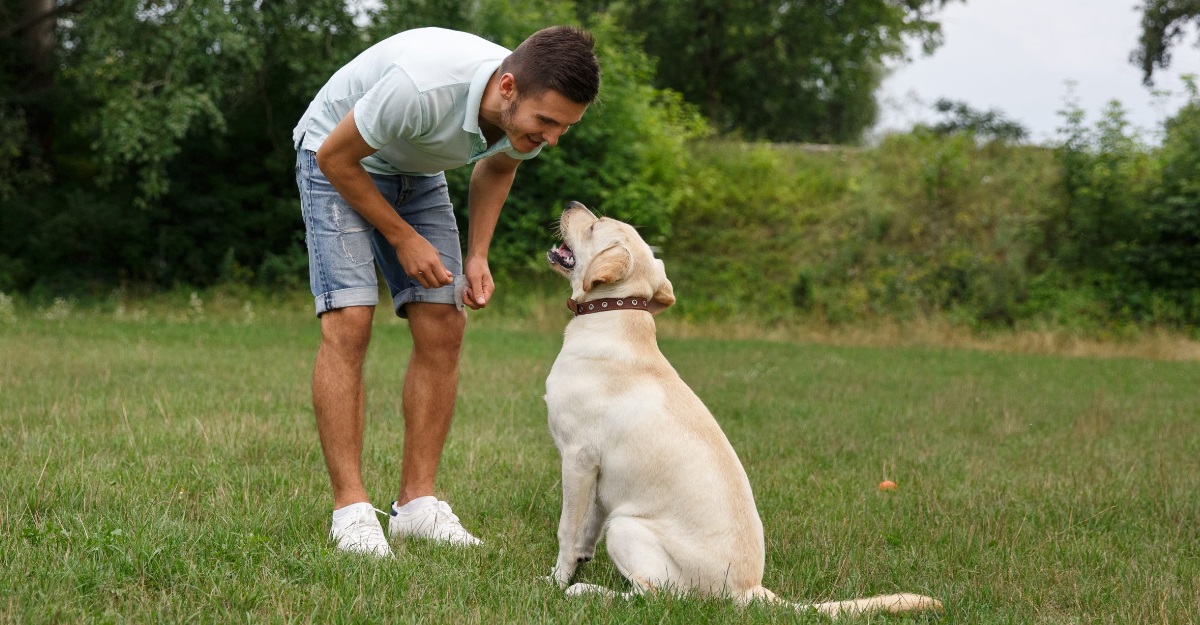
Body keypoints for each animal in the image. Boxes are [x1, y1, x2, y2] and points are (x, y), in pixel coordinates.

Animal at [544, 202, 945, 614]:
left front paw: (556, 582)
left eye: (595, 226)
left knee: (656, 597)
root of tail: (750, 590)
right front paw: (580, 562)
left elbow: (567, 531)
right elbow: (587, 529)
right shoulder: (598, 476)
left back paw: (588, 592)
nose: (571, 205)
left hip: (626, 526)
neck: (614, 316)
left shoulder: (577, 458)